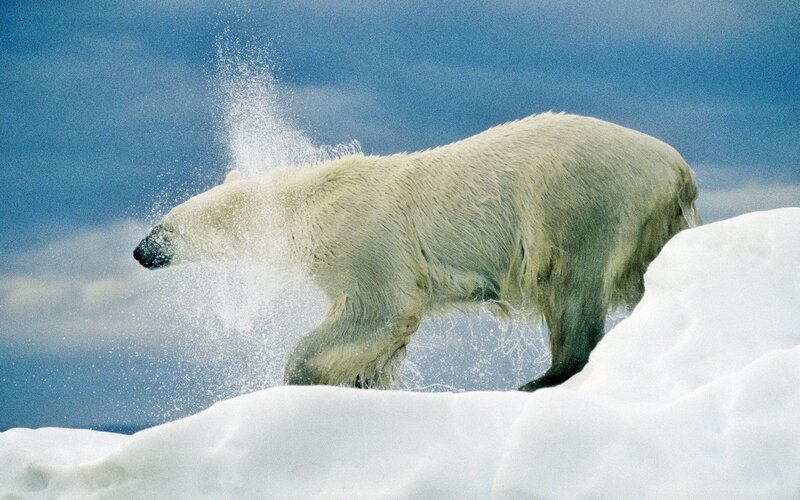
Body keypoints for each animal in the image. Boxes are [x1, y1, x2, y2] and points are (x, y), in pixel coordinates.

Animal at [134, 112, 700, 391]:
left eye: (167, 227)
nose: (140, 251)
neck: (307, 203)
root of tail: (677, 167)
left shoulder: (364, 241)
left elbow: (378, 310)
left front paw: (301, 377)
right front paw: (361, 381)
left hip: (579, 202)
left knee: (572, 289)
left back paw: (543, 378)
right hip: (653, 221)